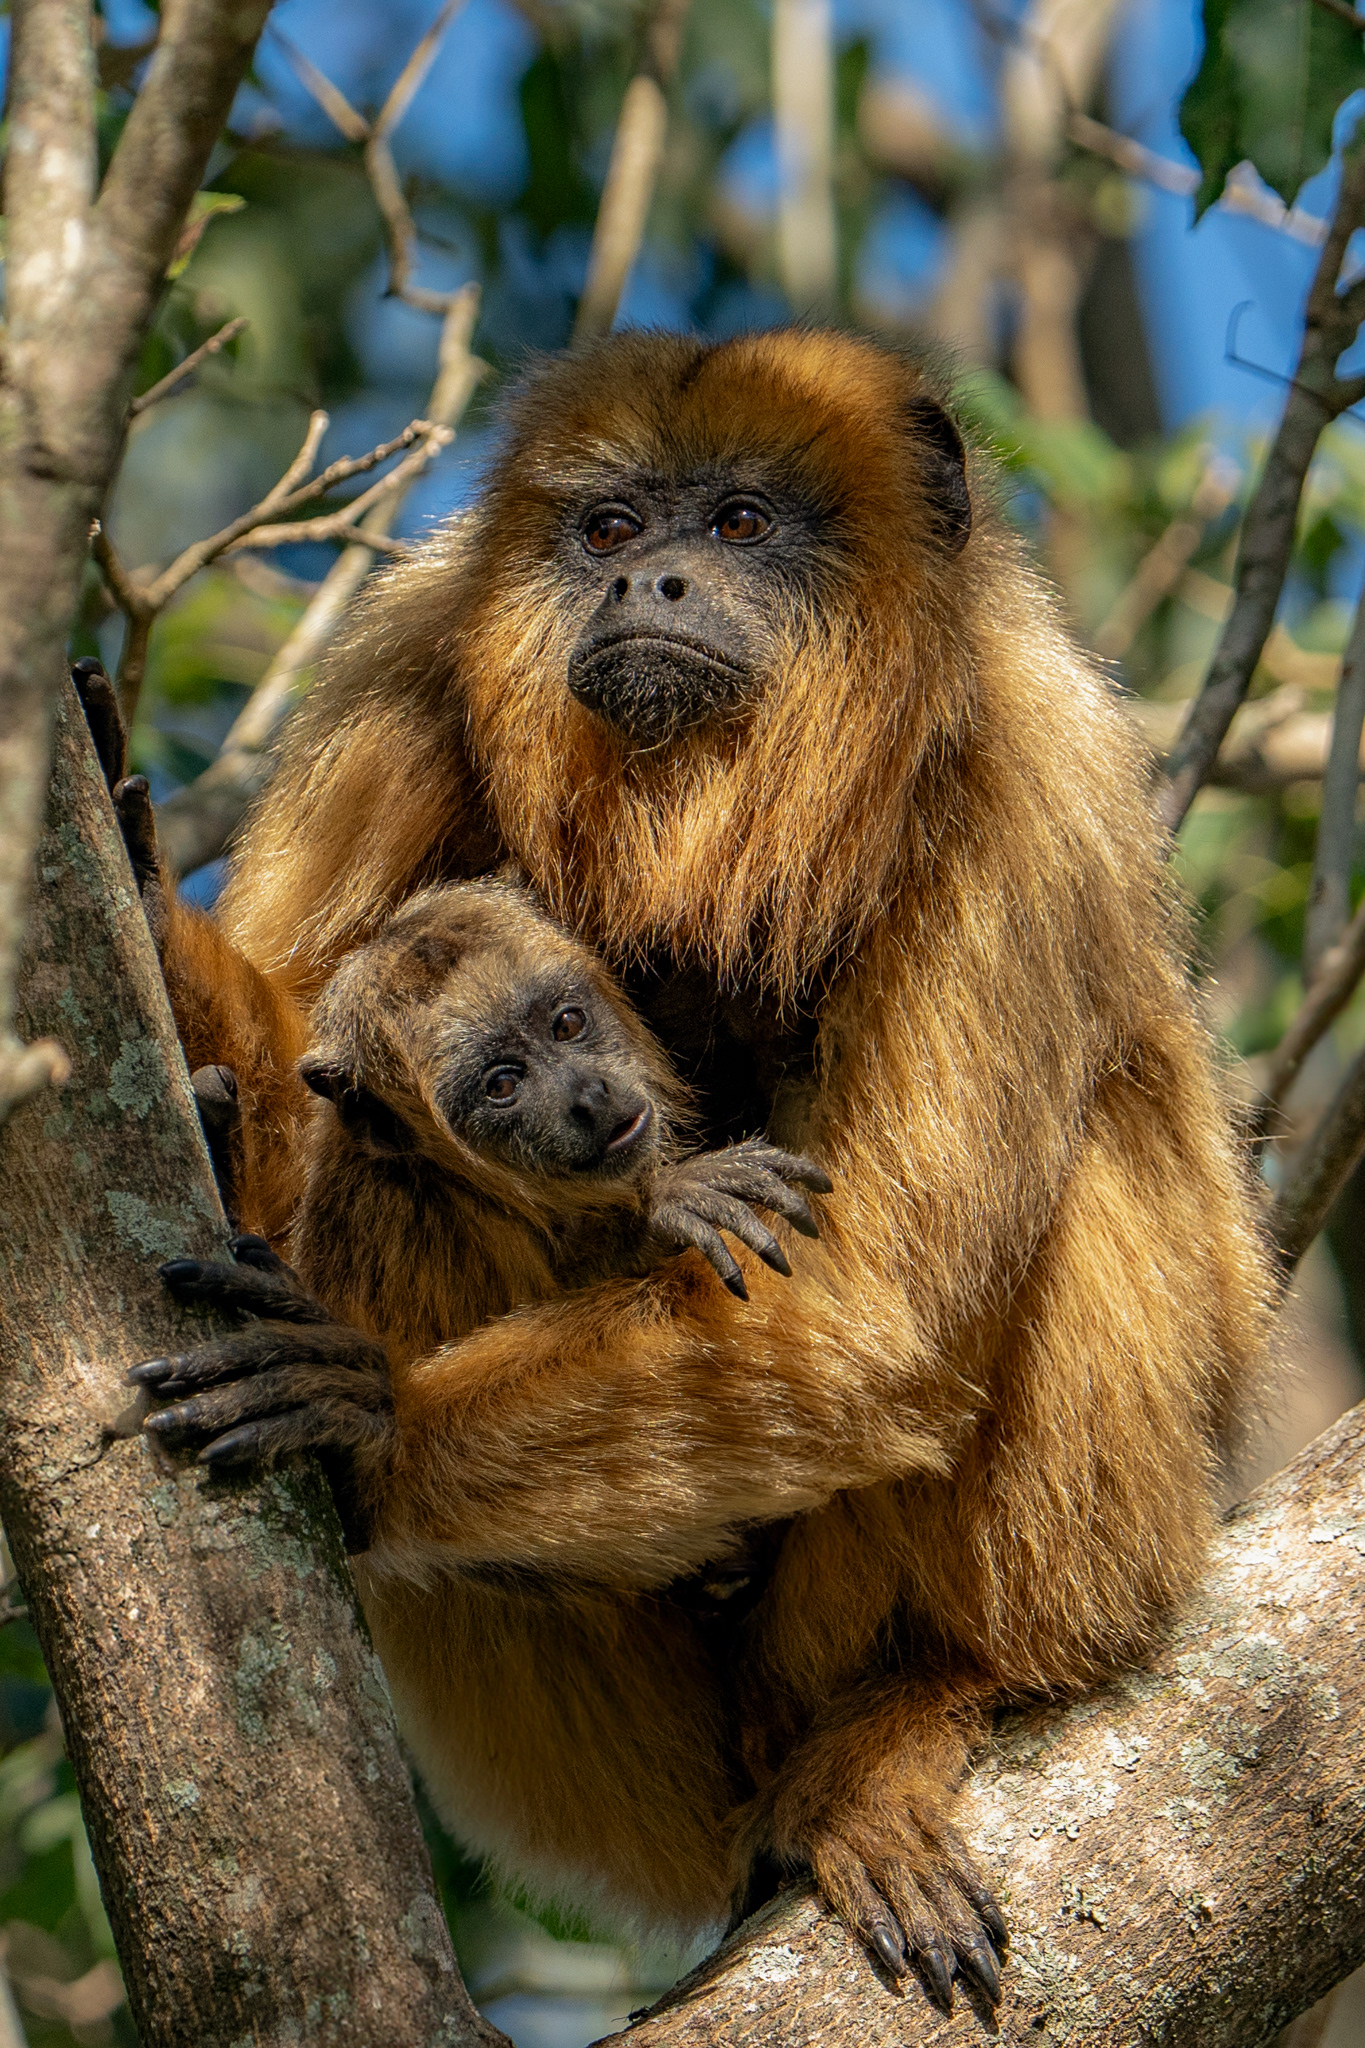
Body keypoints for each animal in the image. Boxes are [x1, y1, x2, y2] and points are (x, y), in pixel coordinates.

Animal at [118, 328, 1272, 2012]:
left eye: (737, 524)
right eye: (608, 528)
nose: (645, 582)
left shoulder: (1020, 771)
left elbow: (882, 1300)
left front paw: (371, 1420)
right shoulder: (403, 684)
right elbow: (290, 1110)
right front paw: (154, 933)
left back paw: (923, 1705)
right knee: (383, 1166)